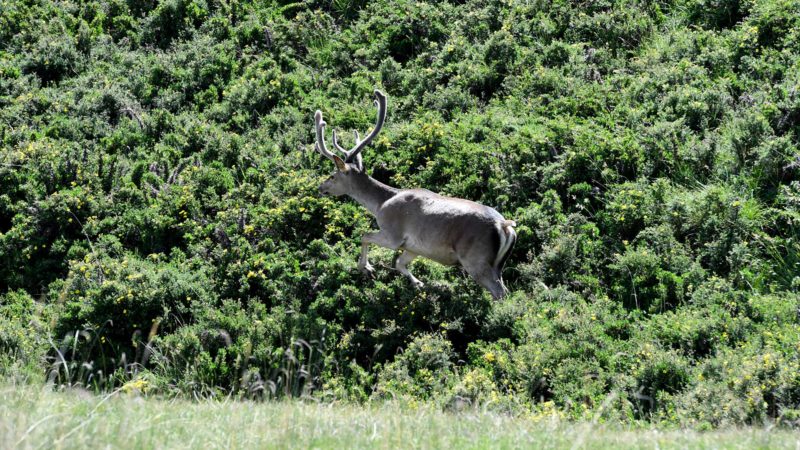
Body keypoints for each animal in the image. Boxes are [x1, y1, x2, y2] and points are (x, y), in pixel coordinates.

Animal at [312, 89, 520, 298]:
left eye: (332, 175)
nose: (320, 188)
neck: (380, 205)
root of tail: (504, 226)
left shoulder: (393, 234)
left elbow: (364, 235)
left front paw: (366, 268)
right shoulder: (414, 247)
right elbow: (399, 263)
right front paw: (418, 283)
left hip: (475, 258)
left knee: (500, 292)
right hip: (496, 264)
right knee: (505, 288)